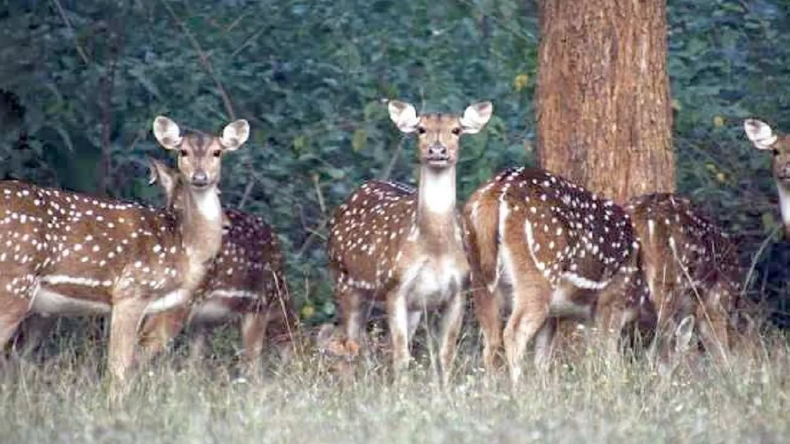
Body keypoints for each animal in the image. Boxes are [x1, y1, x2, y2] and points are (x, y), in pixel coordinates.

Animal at [0, 115, 249, 388]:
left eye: (217, 152)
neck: (184, 247)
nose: (200, 177)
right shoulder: (131, 290)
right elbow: (119, 369)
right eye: (183, 151)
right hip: (14, 283)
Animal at [324, 99, 492, 384]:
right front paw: (401, 390)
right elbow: (401, 355)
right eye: (421, 129)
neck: (435, 246)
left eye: (456, 130)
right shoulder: (396, 286)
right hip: (344, 280)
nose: (437, 149)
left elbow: (445, 354)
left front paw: (444, 390)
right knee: (349, 343)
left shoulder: (458, 289)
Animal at [464, 166, 648, 386]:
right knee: (513, 333)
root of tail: (495, 192)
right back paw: (519, 388)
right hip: (539, 271)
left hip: (480, 277)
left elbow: (542, 358)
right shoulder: (613, 300)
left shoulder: (554, 316)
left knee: (491, 339)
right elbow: (610, 356)